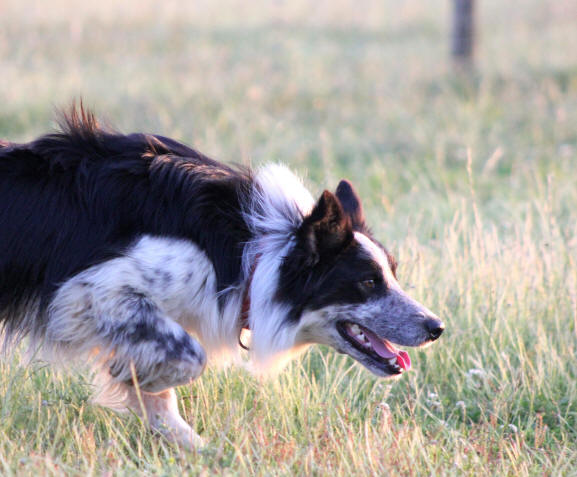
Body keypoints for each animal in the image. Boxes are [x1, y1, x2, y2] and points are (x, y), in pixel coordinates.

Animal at [0, 106, 444, 448]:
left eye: (392, 274)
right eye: (369, 282)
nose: (437, 327)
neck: (255, 251)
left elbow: (164, 404)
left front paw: (199, 450)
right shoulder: (93, 288)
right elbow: (189, 358)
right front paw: (138, 377)